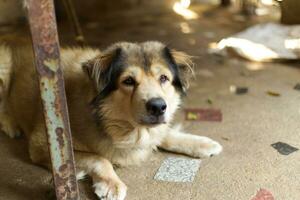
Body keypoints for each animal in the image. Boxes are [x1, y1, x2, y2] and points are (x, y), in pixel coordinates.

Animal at [0, 41, 220, 199]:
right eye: (128, 81)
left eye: (164, 78)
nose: (158, 106)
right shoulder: (41, 143)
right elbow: (99, 157)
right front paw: (110, 183)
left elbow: (166, 134)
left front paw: (201, 143)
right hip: (4, 61)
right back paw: (10, 124)